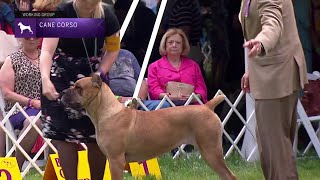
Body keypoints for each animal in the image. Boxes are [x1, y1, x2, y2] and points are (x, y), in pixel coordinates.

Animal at [61, 74, 236, 179]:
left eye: (78, 87)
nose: (62, 92)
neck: (106, 112)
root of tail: (207, 107)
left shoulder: (116, 160)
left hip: (211, 151)